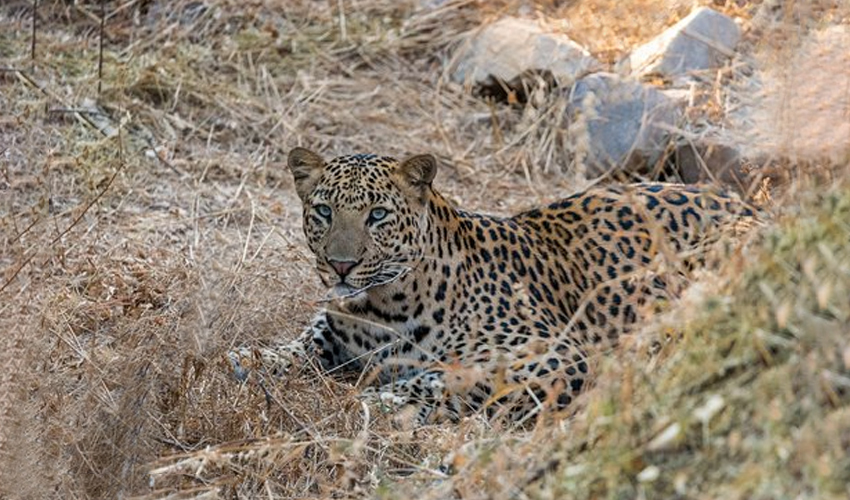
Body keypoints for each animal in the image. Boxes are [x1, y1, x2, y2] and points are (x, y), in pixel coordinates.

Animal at [229, 148, 752, 426]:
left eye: (377, 215)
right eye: (323, 211)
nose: (340, 265)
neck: (377, 309)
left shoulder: (555, 353)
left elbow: (450, 376)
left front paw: (386, 399)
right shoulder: (337, 325)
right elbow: (308, 338)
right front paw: (255, 359)